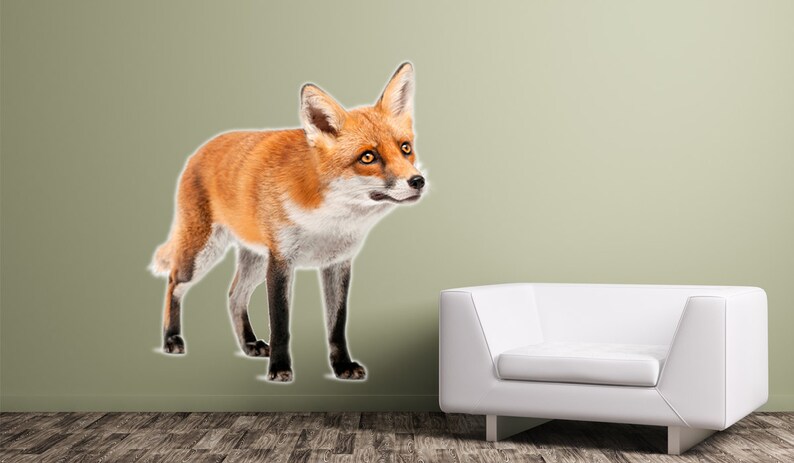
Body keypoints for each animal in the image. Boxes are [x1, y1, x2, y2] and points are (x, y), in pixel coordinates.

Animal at [149, 62, 425, 382]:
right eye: (368, 157)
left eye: (405, 148)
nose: (418, 181)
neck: (328, 221)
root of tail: (200, 149)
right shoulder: (281, 263)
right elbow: (280, 325)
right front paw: (280, 368)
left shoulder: (337, 263)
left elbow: (337, 325)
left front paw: (342, 366)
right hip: (202, 254)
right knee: (174, 283)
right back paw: (171, 339)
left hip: (256, 260)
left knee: (234, 295)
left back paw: (249, 344)